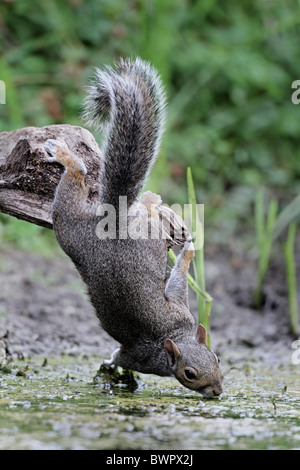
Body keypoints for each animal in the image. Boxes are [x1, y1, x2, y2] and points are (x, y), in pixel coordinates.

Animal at [44, 57, 223, 396]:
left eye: (217, 358)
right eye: (190, 374)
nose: (217, 391)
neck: (173, 338)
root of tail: (113, 219)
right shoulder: (151, 345)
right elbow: (176, 283)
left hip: (75, 228)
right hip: (80, 227)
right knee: (78, 173)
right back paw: (66, 156)